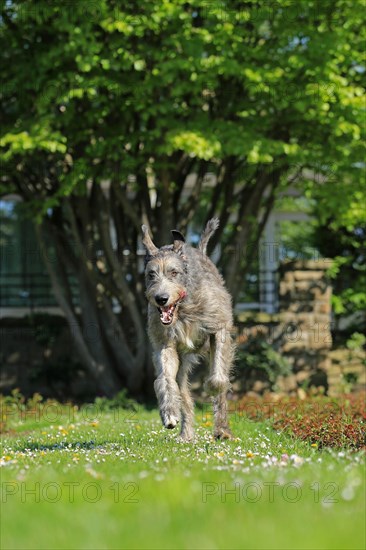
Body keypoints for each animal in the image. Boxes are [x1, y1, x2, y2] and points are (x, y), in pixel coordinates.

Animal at [142, 220, 233, 444]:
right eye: (151, 274)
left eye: (174, 272)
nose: (161, 298)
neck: (183, 309)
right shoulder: (165, 343)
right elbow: (166, 379)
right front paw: (169, 412)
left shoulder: (218, 328)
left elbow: (218, 380)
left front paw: (212, 388)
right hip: (182, 363)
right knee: (181, 388)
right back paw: (186, 433)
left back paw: (221, 430)